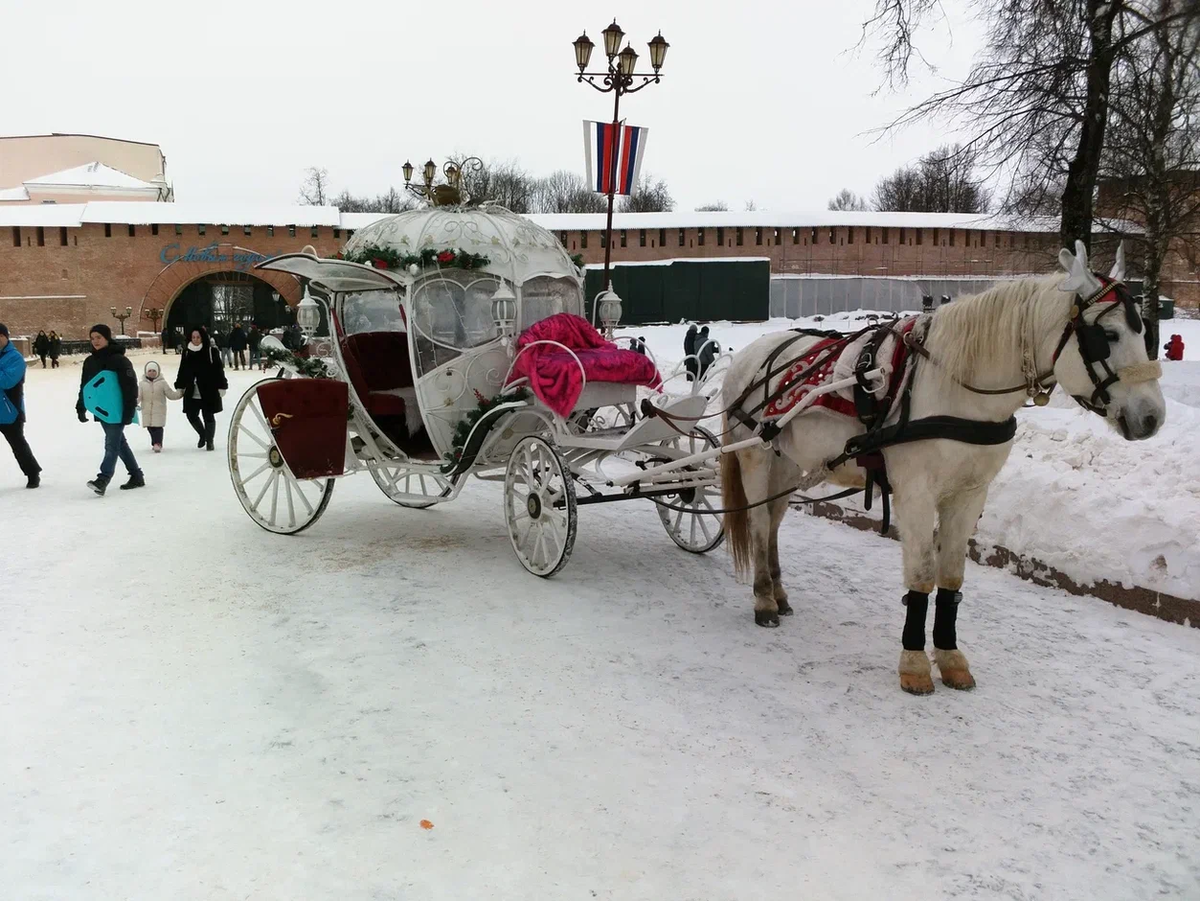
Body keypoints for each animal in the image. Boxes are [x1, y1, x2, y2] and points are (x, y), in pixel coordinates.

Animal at [720, 241, 1161, 695]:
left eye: (1146, 332)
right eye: (1107, 335)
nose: (1152, 417)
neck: (953, 385)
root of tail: (750, 354)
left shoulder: (970, 494)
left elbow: (951, 577)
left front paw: (950, 657)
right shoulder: (915, 492)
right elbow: (920, 575)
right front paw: (914, 663)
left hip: (789, 463)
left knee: (773, 519)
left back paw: (779, 591)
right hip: (755, 456)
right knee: (758, 522)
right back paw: (763, 598)